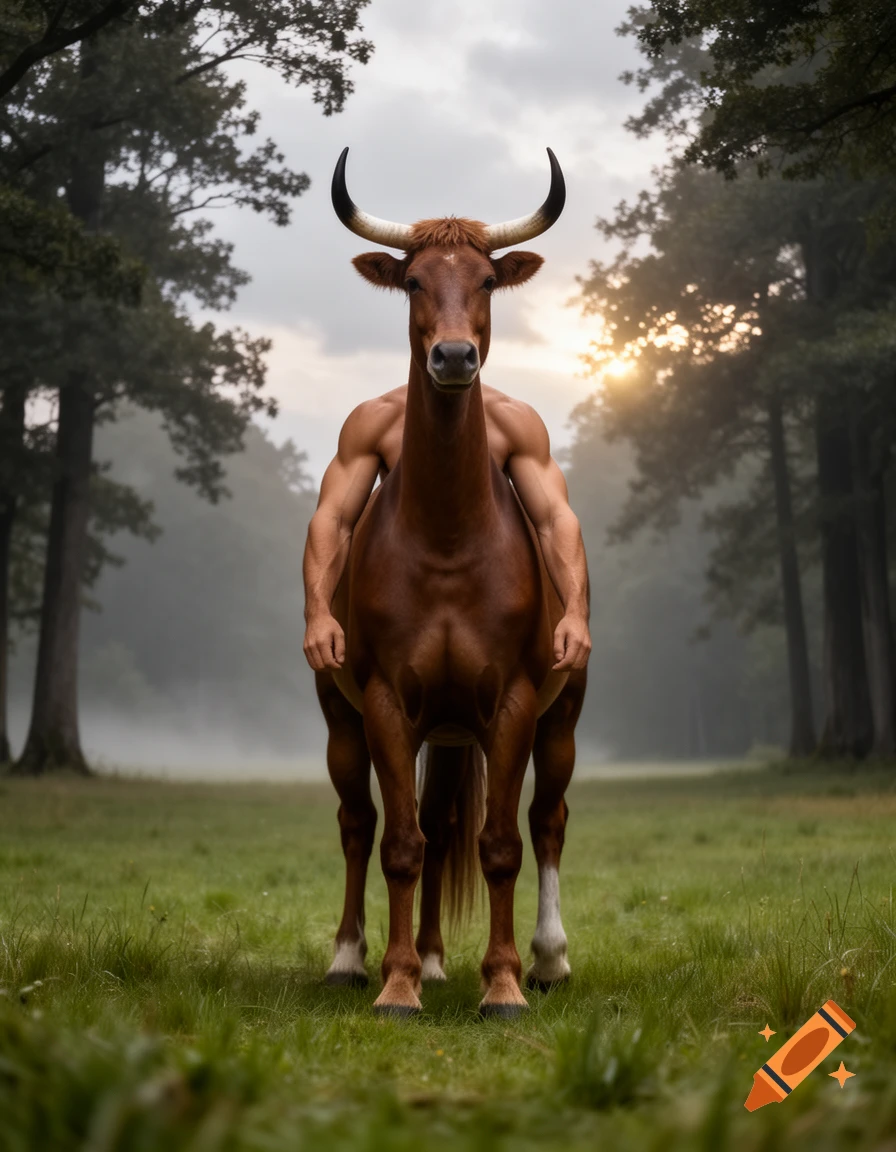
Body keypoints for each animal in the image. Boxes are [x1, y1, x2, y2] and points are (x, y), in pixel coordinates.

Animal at [314, 148, 587, 1017]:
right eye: (411, 281)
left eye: (489, 280)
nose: (455, 357)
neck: (445, 540)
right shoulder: (387, 704)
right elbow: (401, 843)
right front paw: (397, 983)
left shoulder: (513, 703)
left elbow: (500, 844)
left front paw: (503, 982)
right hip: (354, 721)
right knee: (365, 823)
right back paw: (370, 959)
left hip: (556, 718)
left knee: (546, 819)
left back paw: (545, 959)